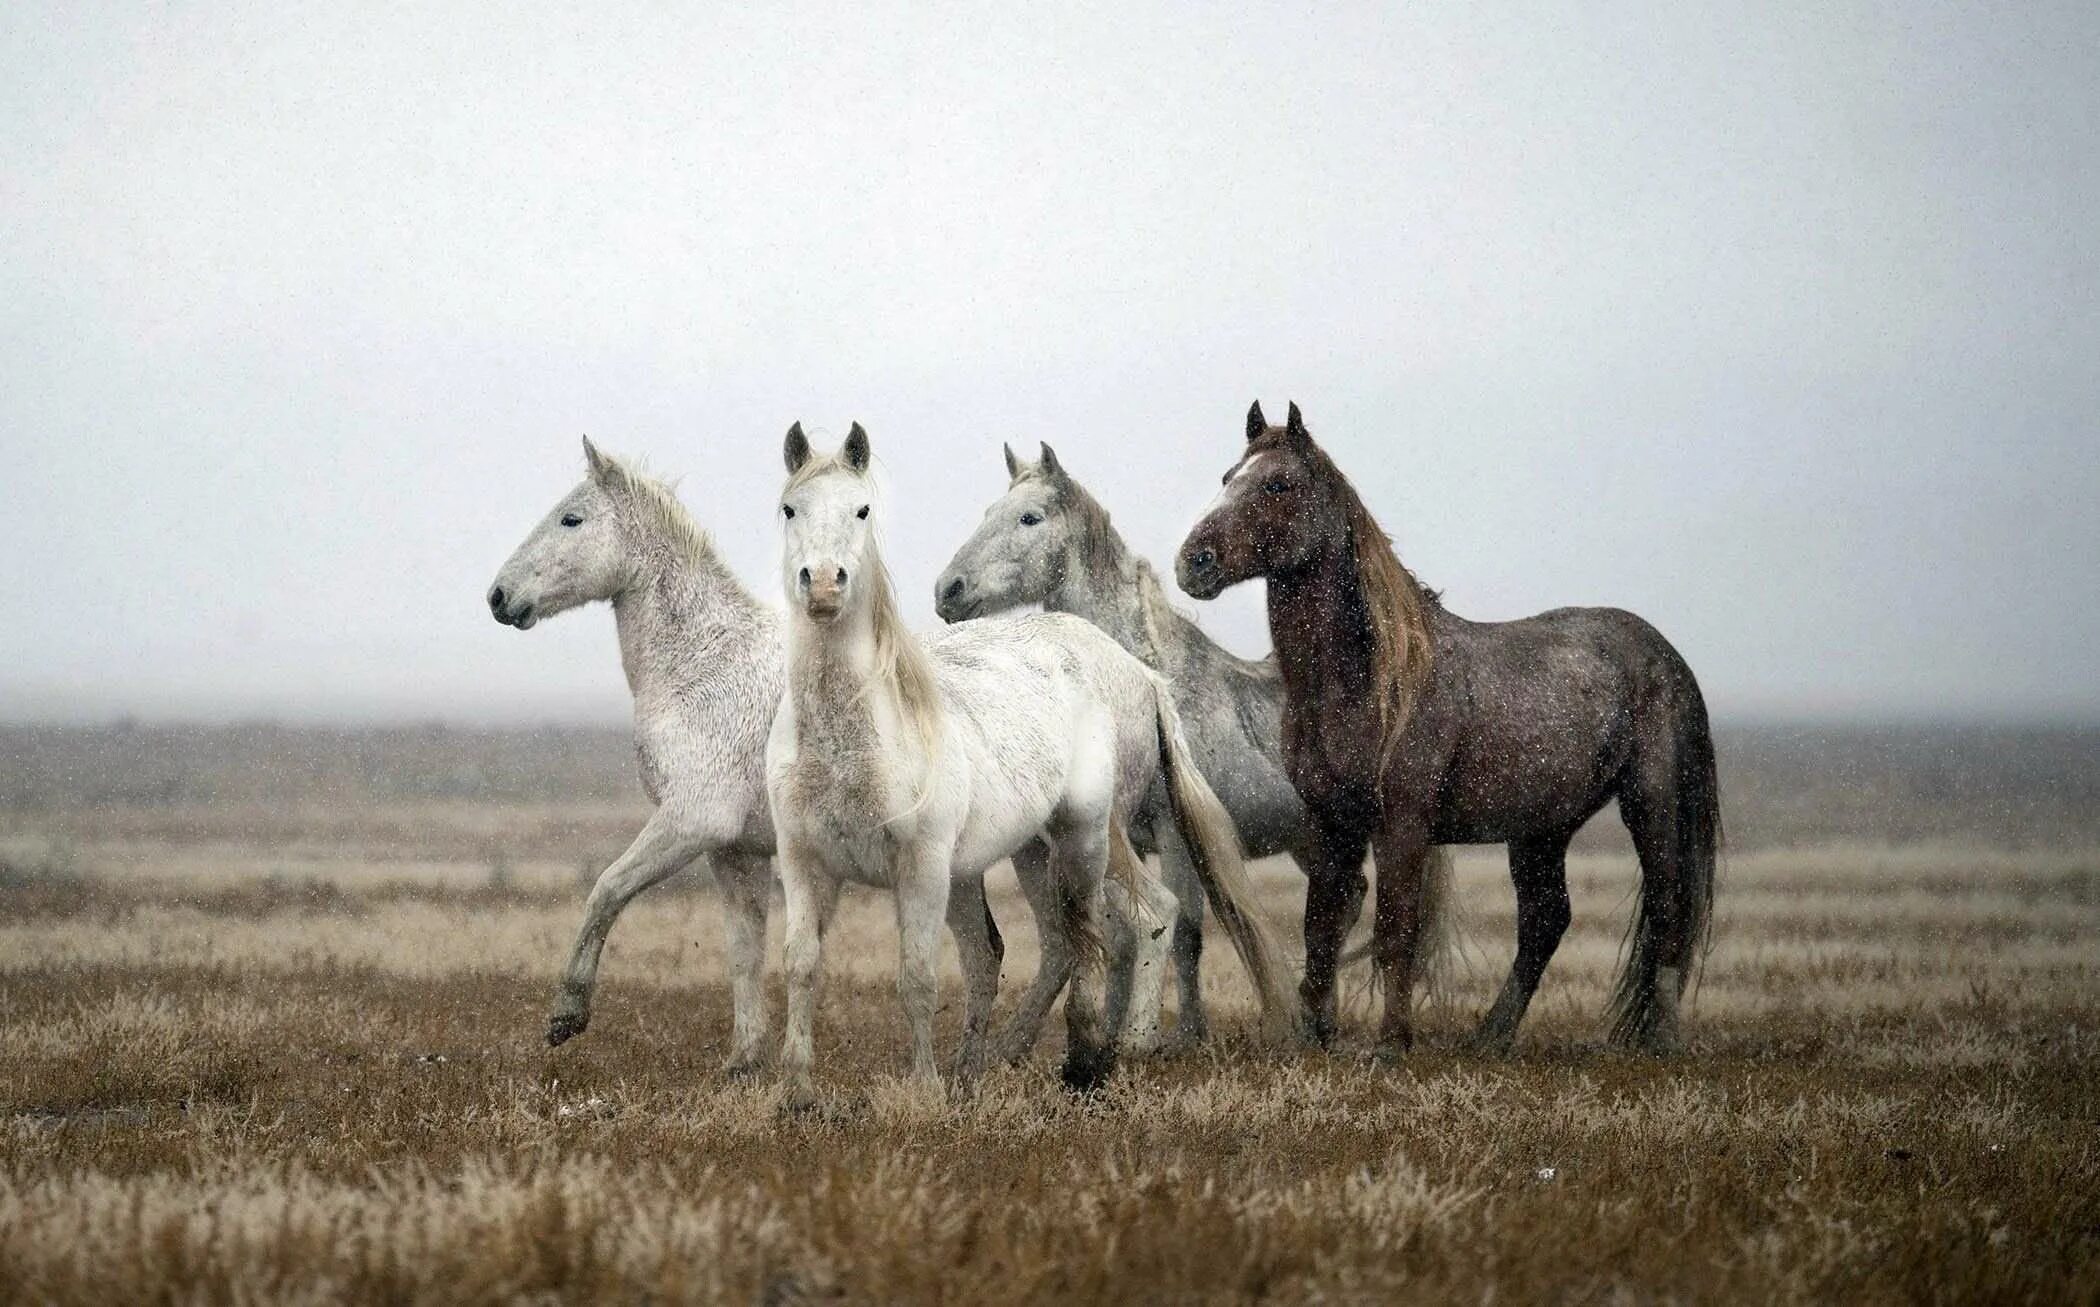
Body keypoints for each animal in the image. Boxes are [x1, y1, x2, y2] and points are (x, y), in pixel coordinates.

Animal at [772, 428, 1293, 1109]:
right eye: (790, 509)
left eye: (862, 511)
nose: (825, 585)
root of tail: (1141, 674)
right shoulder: (805, 865)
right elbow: (802, 966)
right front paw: (797, 1091)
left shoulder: (924, 868)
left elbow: (918, 977)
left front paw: (924, 1091)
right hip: (1032, 854)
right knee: (1055, 944)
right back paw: (999, 1059)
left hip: (1094, 840)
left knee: (1131, 920)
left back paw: (1106, 1054)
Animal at [944, 445, 1453, 1050]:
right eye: (988, 512)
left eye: (1029, 518)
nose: (947, 590)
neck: (1151, 678)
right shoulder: (1129, 837)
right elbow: (1123, 930)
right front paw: (1116, 1026)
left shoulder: (1174, 833)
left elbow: (1185, 931)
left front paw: (1184, 1034)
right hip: (1313, 842)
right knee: (1345, 900)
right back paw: (1316, 1020)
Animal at [1176, 405, 1713, 1059]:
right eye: (1229, 477)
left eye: (1277, 484)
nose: (1193, 562)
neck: (1366, 680)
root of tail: (1666, 656)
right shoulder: (1331, 824)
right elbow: (1320, 928)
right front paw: (1316, 1037)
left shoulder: (1402, 827)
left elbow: (1394, 932)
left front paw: (1390, 1044)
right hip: (1541, 829)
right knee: (1545, 922)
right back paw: (1491, 1036)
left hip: (1651, 806)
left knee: (1667, 908)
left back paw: (1662, 1039)